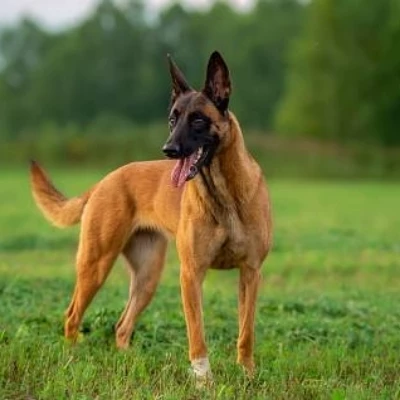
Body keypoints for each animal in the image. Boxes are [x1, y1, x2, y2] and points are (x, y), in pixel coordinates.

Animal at [30, 51, 272, 381]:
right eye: (172, 119)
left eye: (198, 119)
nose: (168, 149)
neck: (225, 195)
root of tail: (105, 180)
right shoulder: (191, 274)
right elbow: (197, 334)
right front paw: (203, 380)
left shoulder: (250, 272)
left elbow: (246, 332)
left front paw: (247, 374)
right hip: (96, 264)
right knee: (72, 316)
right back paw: (72, 358)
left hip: (147, 276)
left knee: (121, 326)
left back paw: (127, 360)